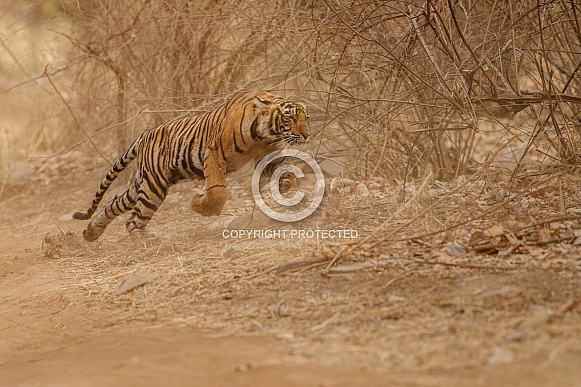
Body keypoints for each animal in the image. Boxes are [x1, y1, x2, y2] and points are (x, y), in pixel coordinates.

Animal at [74, 91, 310, 246]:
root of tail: (144, 135)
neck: (263, 133)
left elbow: (284, 168)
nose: (307, 135)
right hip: (154, 186)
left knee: (114, 202)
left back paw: (91, 232)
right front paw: (199, 206)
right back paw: (145, 243)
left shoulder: (266, 154)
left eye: (306, 117)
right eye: (289, 116)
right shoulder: (214, 154)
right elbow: (217, 191)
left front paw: (287, 185)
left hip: (144, 183)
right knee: (133, 220)